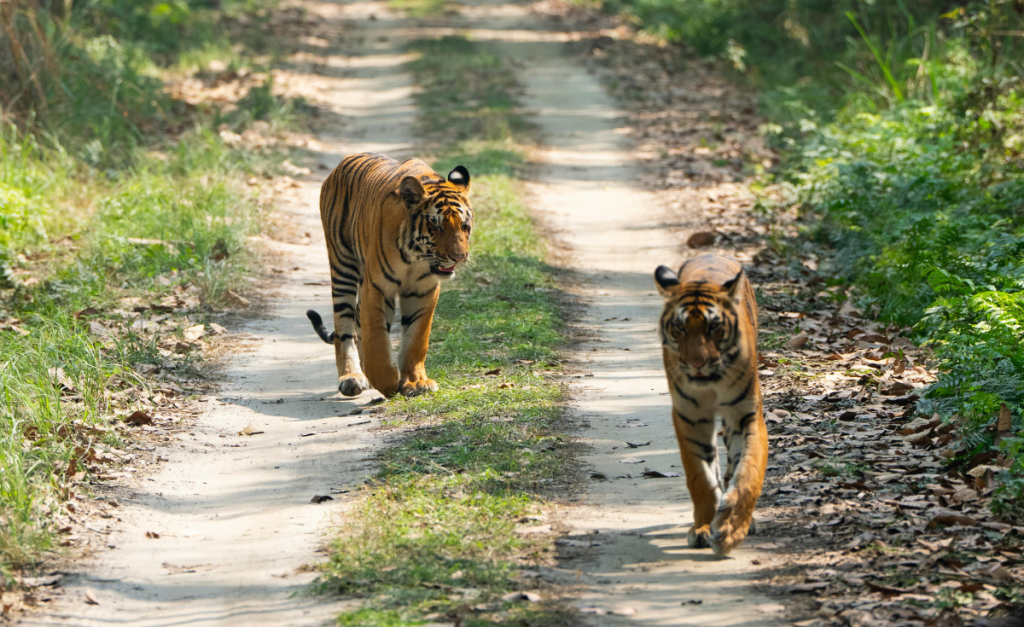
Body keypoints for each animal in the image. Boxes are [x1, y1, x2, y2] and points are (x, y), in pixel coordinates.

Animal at [305, 152, 473, 398]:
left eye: (464, 225)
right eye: (436, 226)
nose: (459, 257)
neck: (415, 258)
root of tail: (341, 164)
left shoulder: (423, 290)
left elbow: (416, 339)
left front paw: (415, 382)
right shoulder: (377, 287)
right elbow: (376, 339)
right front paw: (387, 382)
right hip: (342, 265)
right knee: (344, 328)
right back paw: (352, 377)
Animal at [654, 253, 768, 556]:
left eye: (714, 326)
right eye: (680, 327)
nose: (697, 363)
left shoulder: (746, 414)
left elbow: (748, 472)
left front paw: (732, 529)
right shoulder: (690, 416)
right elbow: (701, 477)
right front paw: (704, 527)